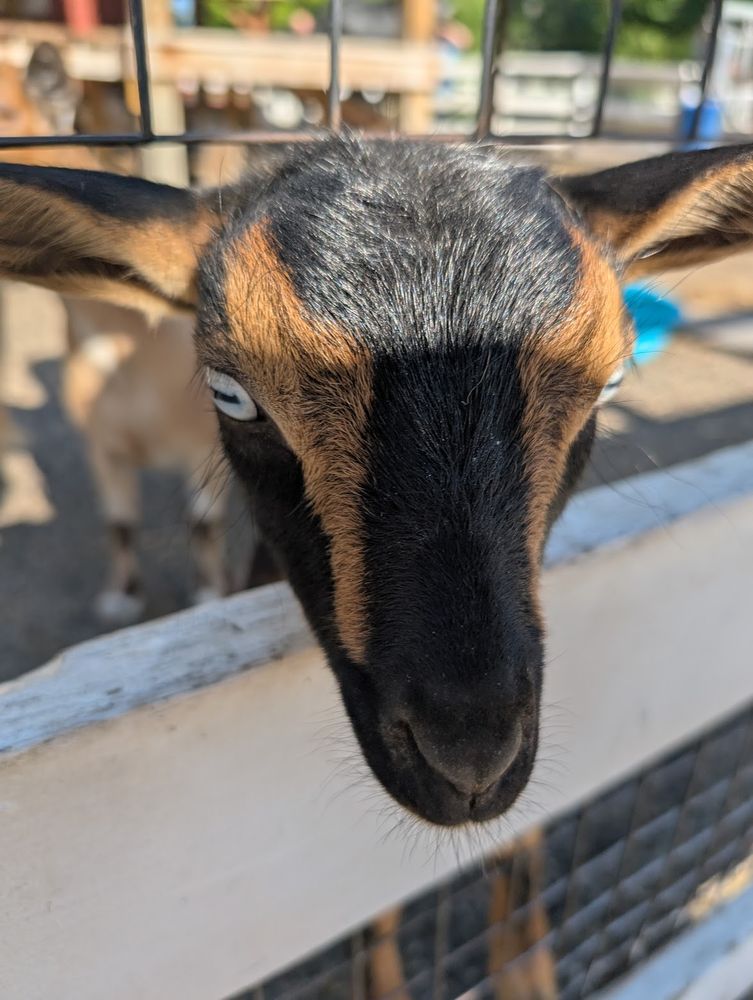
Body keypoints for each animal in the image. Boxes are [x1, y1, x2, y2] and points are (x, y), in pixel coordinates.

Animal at [0, 46, 231, 621]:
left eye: (11, 111)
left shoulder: (201, 443)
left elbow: (202, 521)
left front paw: (210, 592)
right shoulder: (103, 446)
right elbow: (120, 524)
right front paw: (121, 597)